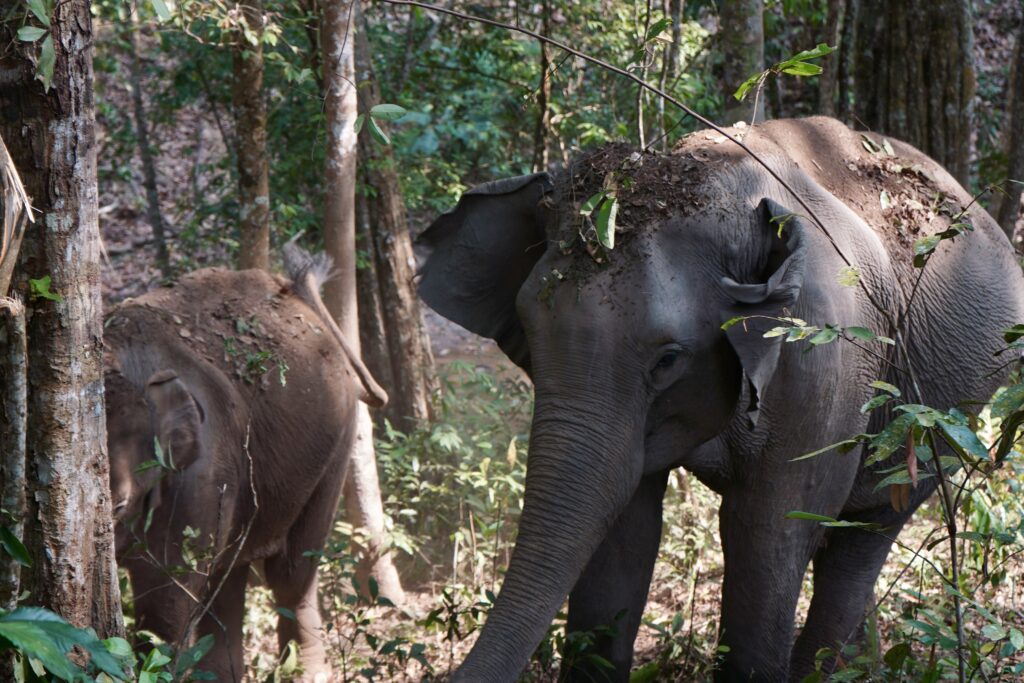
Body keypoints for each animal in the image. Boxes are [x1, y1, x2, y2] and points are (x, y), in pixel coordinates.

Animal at [104, 242, 385, 682]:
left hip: (337, 439)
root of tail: (296, 291)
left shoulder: (198, 478)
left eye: (118, 506)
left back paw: (306, 672)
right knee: (228, 580)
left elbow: (164, 604)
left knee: (291, 572)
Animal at [417, 116, 1024, 681]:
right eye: (526, 330)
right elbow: (625, 532)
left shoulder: (821, 358)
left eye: (668, 359)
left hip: (947, 412)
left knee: (866, 537)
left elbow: (767, 536)